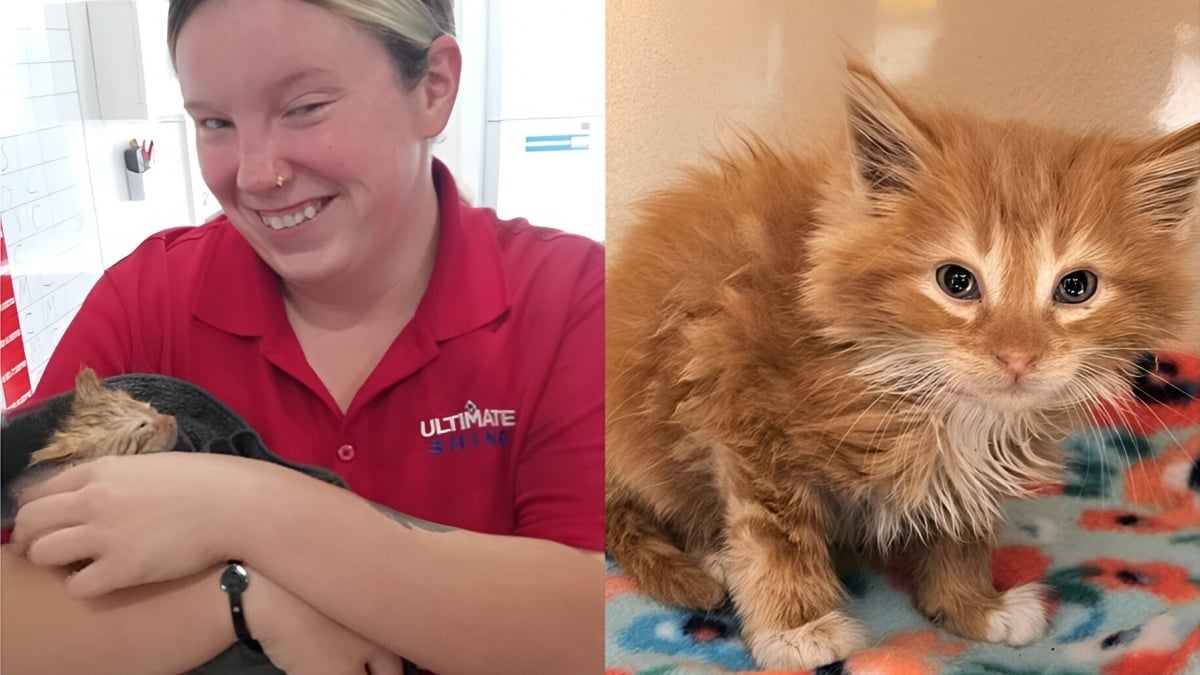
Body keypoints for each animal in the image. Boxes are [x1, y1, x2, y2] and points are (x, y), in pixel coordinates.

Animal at [609, 60, 1200, 667]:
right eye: (956, 281)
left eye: (1077, 287)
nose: (1017, 356)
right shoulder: (739, 406)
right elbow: (774, 535)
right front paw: (797, 630)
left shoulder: (968, 474)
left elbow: (963, 528)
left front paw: (973, 607)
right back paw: (714, 556)